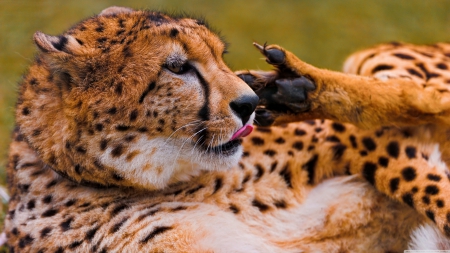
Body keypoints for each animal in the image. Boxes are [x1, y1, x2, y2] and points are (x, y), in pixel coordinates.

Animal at [4, 5, 450, 253]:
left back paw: (295, 86)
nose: (249, 104)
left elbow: (428, 187)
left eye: (220, 57)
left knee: (431, 98)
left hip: (374, 61)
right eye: (177, 67)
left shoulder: (359, 137)